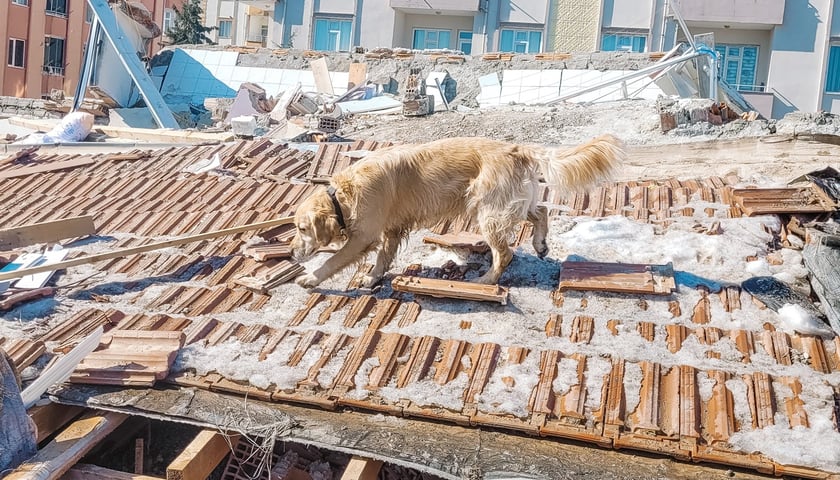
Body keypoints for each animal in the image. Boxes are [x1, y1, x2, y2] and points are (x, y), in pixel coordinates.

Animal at [288, 137, 624, 290]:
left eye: (303, 229)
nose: (290, 253)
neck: (344, 194)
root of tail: (518, 149)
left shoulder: (364, 236)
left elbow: (333, 260)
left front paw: (310, 278)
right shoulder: (390, 229)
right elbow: (383, 257)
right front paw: (372, 278)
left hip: (488, 211)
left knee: (505, 253)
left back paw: (486, 280)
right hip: (511, 203)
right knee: (540, 211)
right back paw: (540, 245)